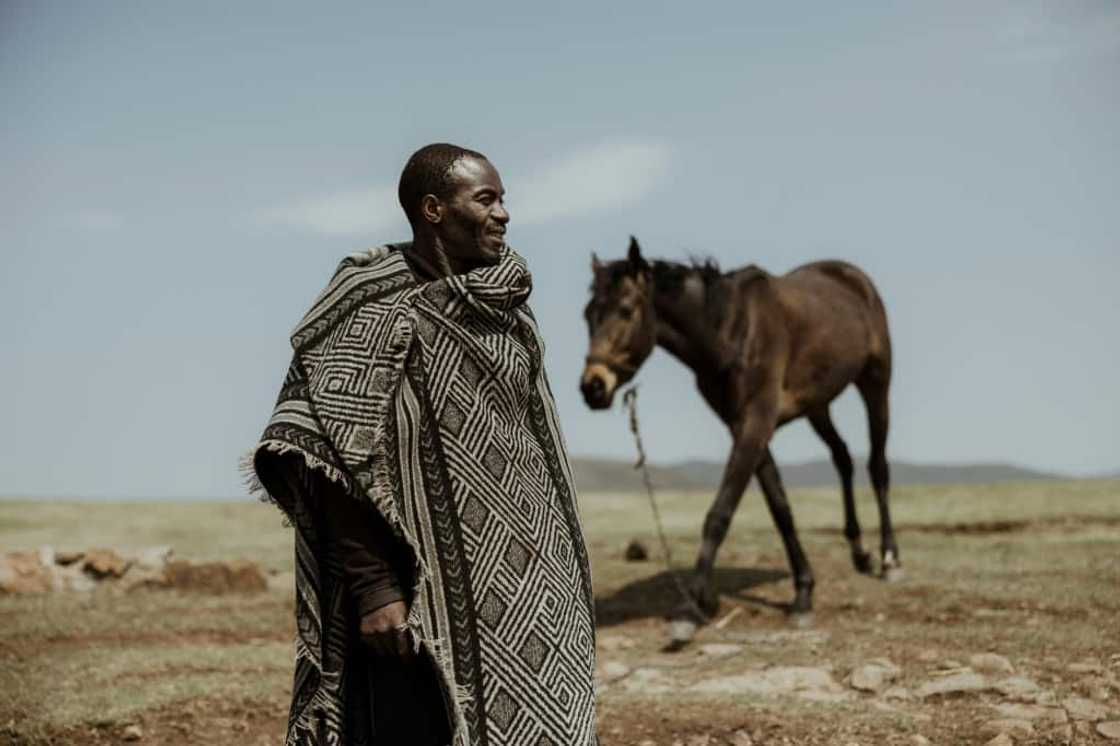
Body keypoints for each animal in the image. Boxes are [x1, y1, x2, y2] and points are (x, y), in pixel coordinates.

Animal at [582, 235, 896, 622]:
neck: (730, 332)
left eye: (626, 310)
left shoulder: (756, 423)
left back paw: (889, 559)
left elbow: (720, 512)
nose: (593, 387)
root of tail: (853, 277)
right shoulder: (743, 426)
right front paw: (803, 589)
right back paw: (859, 553)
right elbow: (780, 509)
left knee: (877, 466)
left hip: (875, 383)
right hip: (817, 405)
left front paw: (693, 606)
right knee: (843, 458)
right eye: (588, 315)